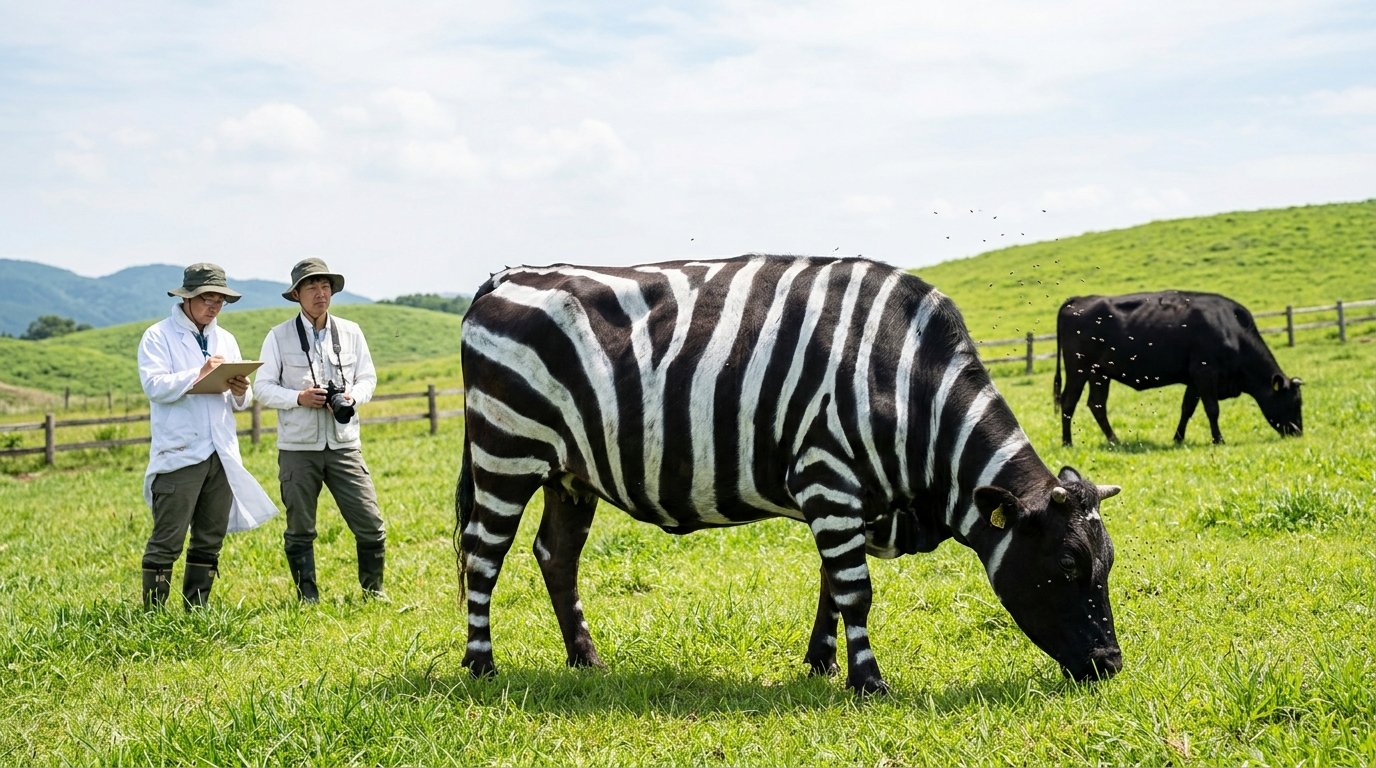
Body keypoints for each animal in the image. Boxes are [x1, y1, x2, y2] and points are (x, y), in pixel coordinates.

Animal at [457, 256, 1125, 694]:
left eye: (1108, 565)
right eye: (1068, 565)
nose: (1112, 667)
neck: (912, 391)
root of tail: (507, 276)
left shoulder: (854, 499)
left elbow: (834, 585)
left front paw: (822, 664)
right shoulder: (828, 475)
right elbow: (855, 589)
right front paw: (868, 684)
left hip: (569, 474)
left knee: (556, 555)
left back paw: (585, 660)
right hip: (507, 451)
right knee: (484, 557)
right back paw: (481, 666)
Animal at [1054, 290, 1303, 447]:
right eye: (1294, 402)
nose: (1298, 432)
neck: (1231, 330)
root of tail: (1079, 299)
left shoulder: (1194, 379)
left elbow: (1187, 408)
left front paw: (1178, 438)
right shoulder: (1205, 373)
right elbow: (1212, 409)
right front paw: (1218, 439)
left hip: (1100, 373)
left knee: (1097, 405)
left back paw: (1115, 440)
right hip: (1078, 369)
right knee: (1068, 403)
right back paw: (1067, 442)